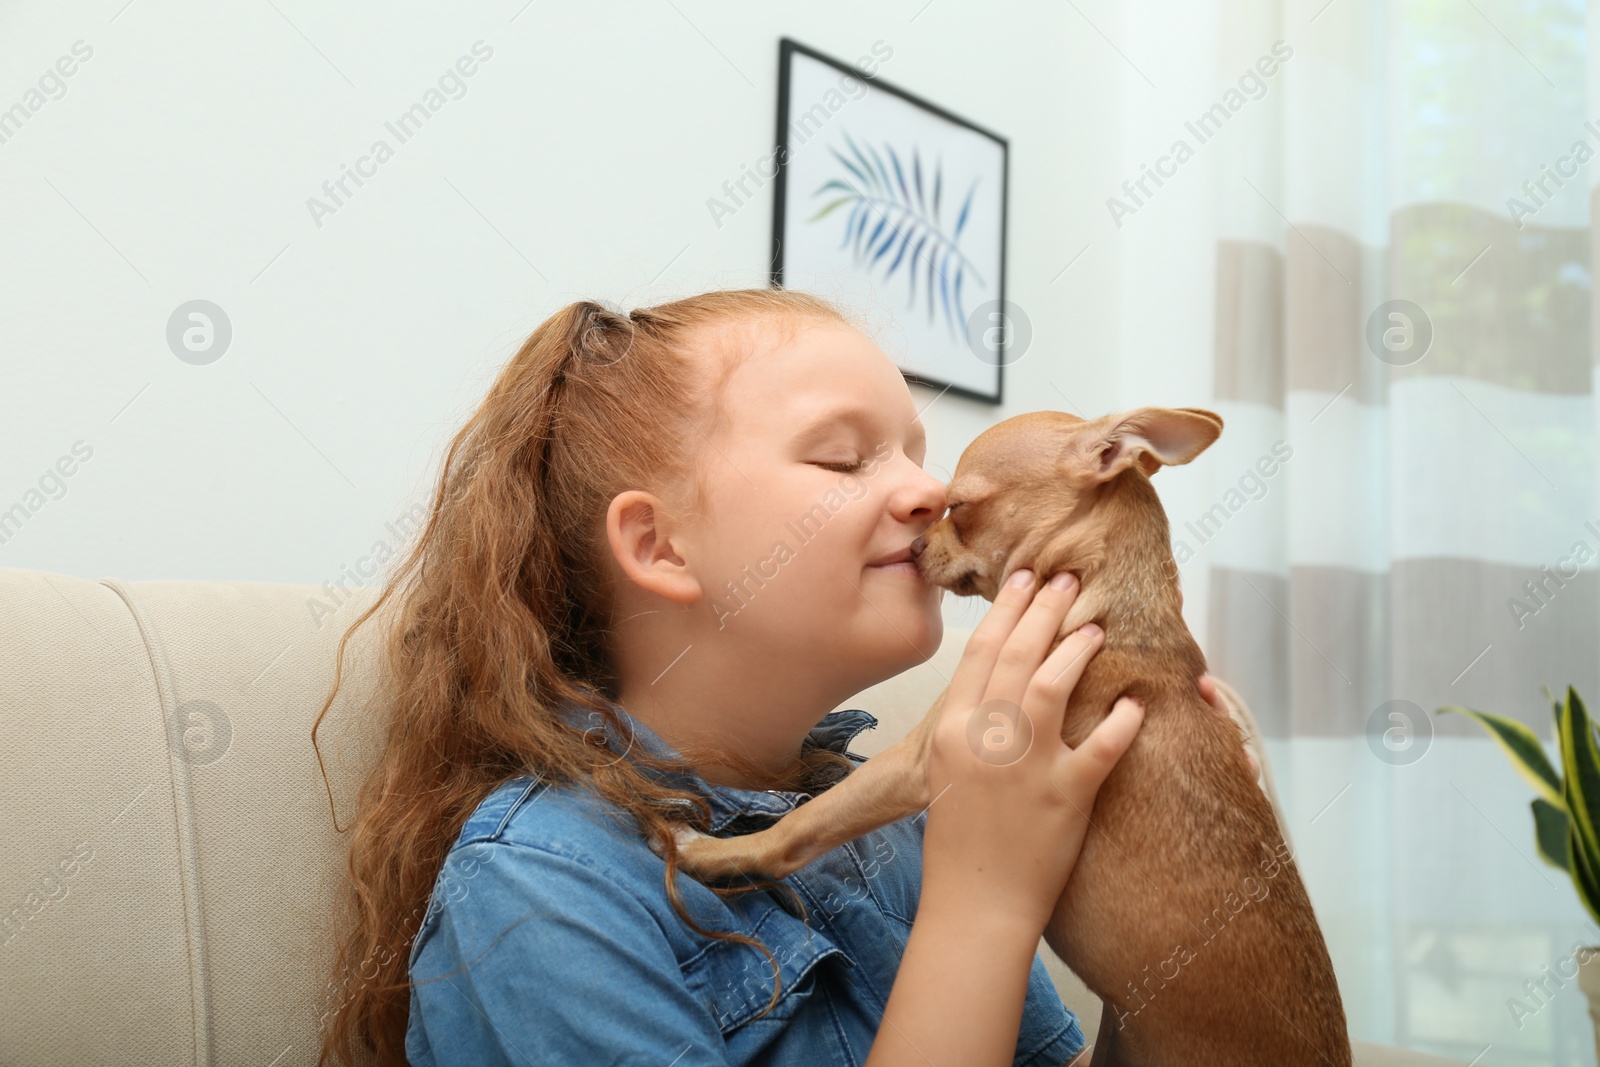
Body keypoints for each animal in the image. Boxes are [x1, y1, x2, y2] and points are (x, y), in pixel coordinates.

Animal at [672, 409, 1350, 1067]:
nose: (915, 544)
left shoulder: (916, 761)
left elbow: (802, 825)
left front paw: (712, 853)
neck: (1104, 610)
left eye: (959, 506)